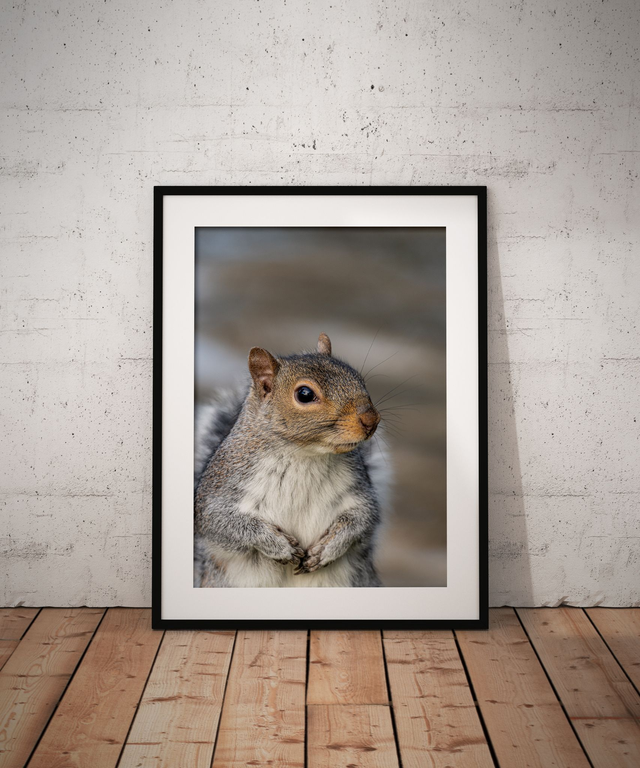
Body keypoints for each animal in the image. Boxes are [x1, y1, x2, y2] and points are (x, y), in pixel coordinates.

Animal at [194, 333, 390, 588]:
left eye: (357, 377)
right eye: (304, 394)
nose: (371, 419)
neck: (305, 454)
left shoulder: (359, 490)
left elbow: (362, 520)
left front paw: (326, 550)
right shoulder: (222, 487)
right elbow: (221, 523)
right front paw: (278, 546)